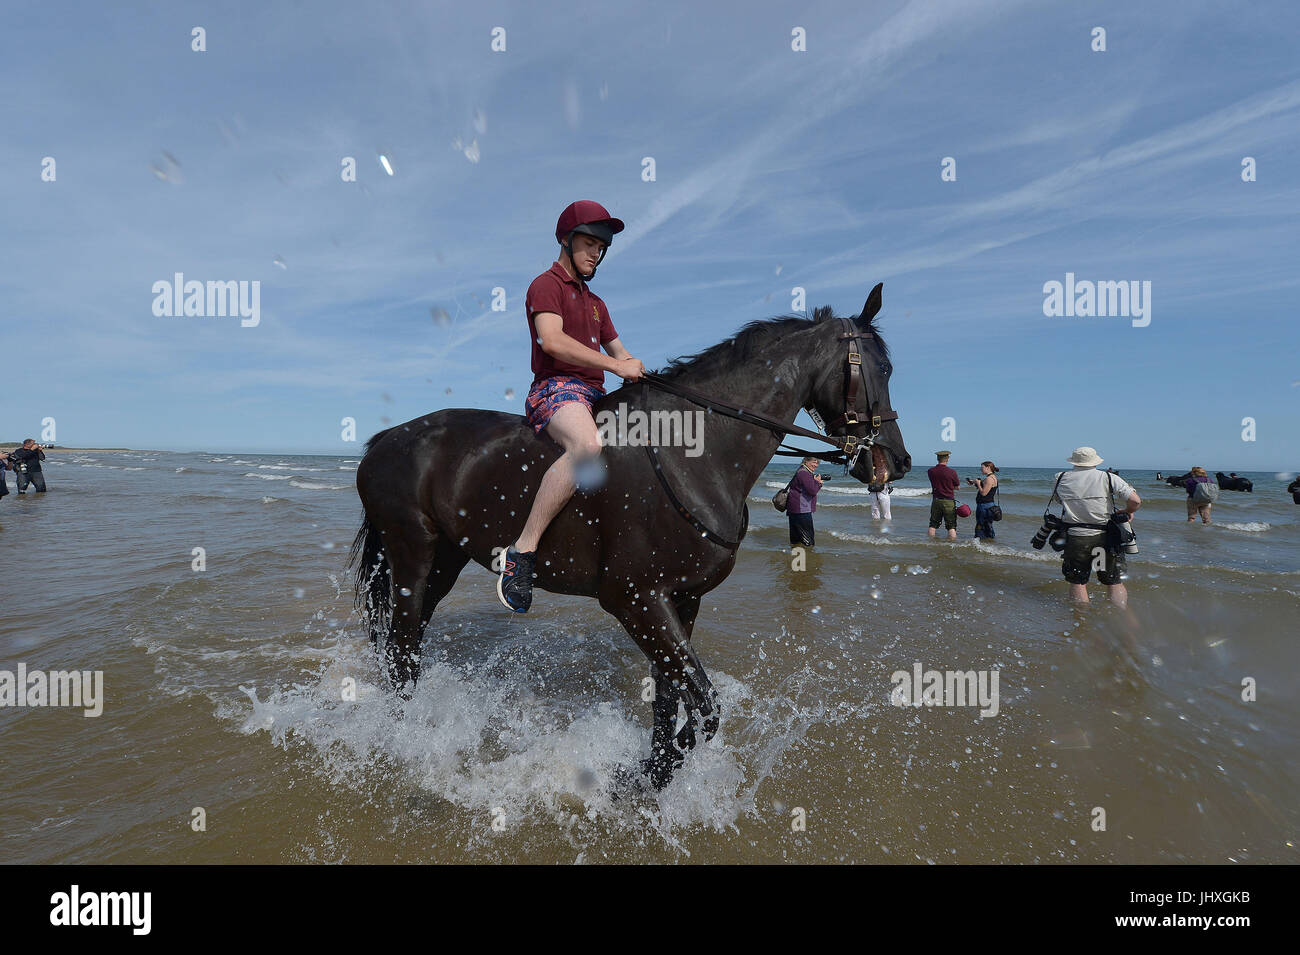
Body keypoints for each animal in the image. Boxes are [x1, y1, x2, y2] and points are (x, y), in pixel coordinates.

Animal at [351, 281, 909, 784]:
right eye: (880, 369)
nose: (897, 463)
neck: (694, 453)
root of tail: (386, 438)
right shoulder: (635, 599)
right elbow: (707, 709)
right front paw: (647, 775)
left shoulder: (681, 600)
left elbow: (670, 702)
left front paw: (653, 774)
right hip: (413, 555)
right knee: (401, 649)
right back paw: (408, 740)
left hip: (444, 561)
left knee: (407, 649)